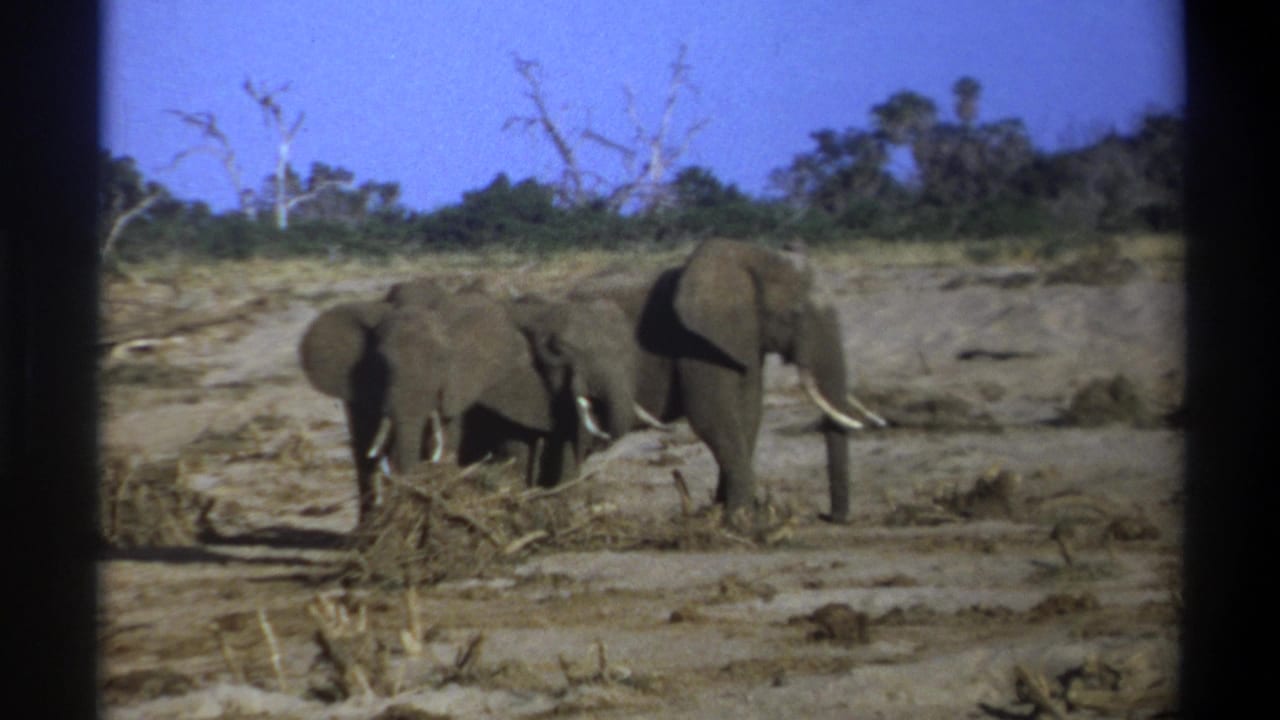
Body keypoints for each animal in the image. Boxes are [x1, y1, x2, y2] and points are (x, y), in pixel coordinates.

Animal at [570, 238, 883, 523]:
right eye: (794, 314)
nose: (828, 517)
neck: (753, 256)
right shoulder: (697, 341)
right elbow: (712, 414)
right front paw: (741, 519)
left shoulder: (743, 338)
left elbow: (748, 412)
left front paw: (724, 512)